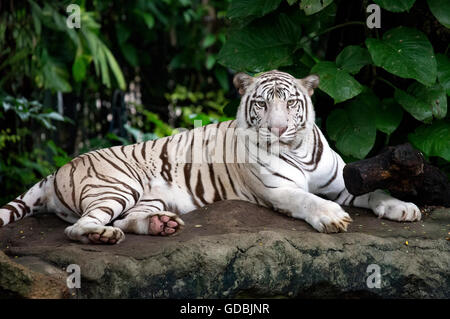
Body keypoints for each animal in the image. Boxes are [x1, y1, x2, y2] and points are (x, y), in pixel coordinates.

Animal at [0, 70, 422, 245]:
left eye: (290, 103)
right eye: (262, 104)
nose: (278, 130)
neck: (297, 149)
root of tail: (58, 169)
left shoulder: (343, 181)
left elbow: (375, 191)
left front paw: (403, 207)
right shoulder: (279, 190)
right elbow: (307, 199)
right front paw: (332, 217)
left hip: (147, 198)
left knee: (128, 218)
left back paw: (161, 227)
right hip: (117, 186)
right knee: (78, 228)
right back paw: (103, 236)